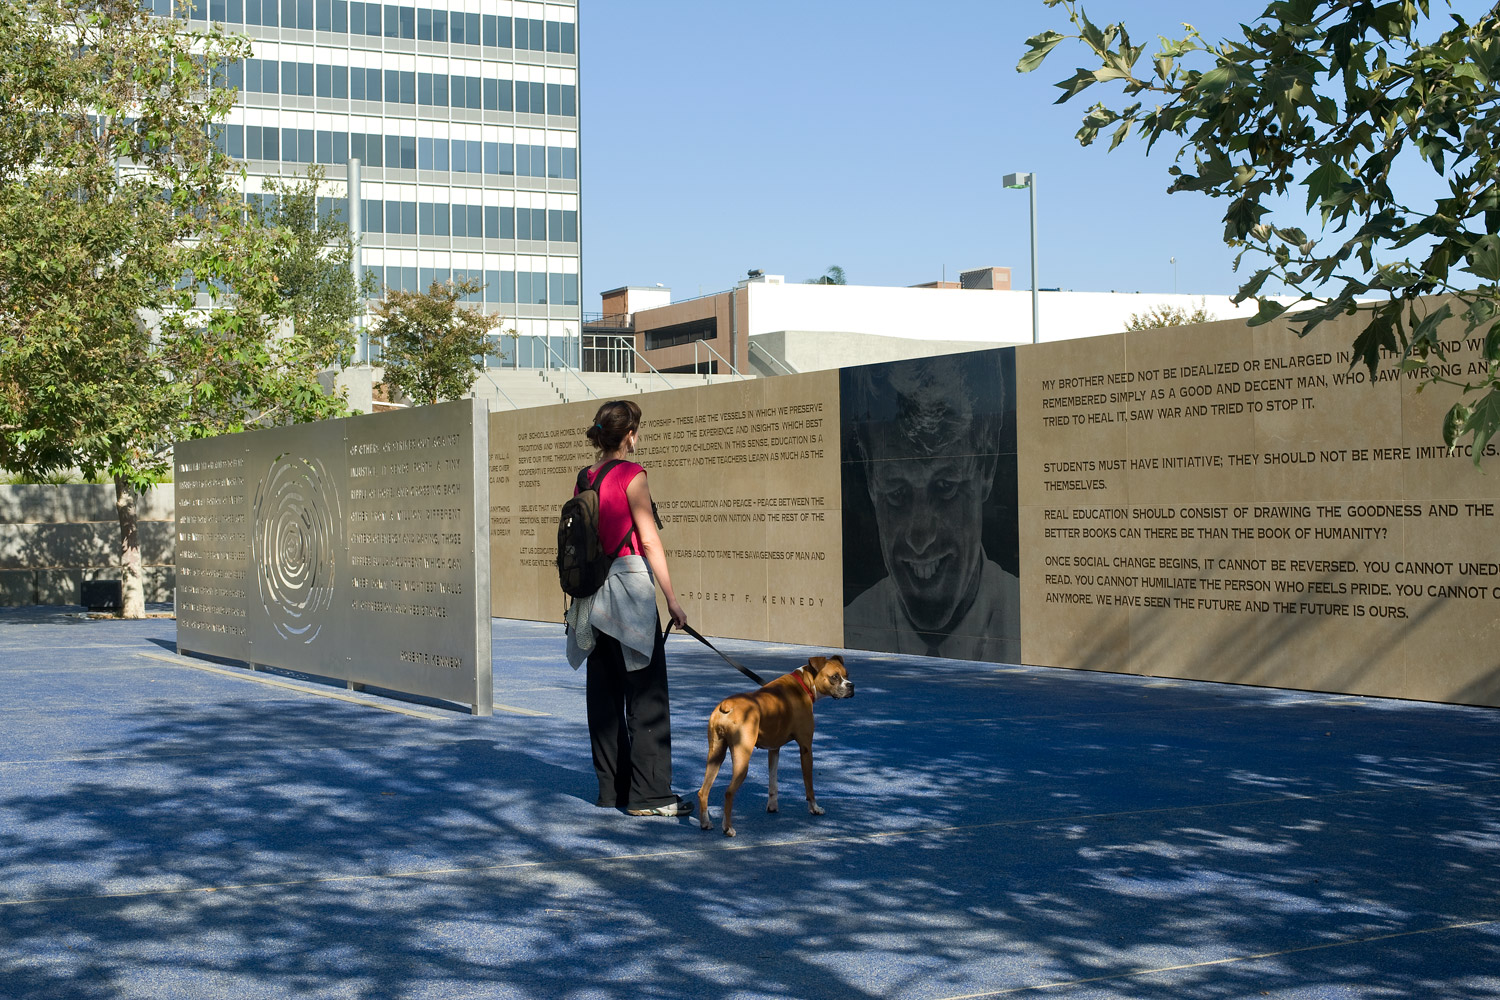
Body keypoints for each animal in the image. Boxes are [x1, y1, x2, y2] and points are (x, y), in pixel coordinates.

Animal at [693, 656, 852, 839]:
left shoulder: (774, 749)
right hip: (742, 760)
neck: (804, 683)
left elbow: (773, 782)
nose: (851, 686)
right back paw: (728, 828)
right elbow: (809, 784)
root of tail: (727, 705)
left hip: (715, 756)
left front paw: (772, 806)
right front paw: (814, 808)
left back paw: (705, 823)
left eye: (847, 675)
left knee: (703, 791)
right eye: (834, 677)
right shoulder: (806, 748)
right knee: (729, 792)